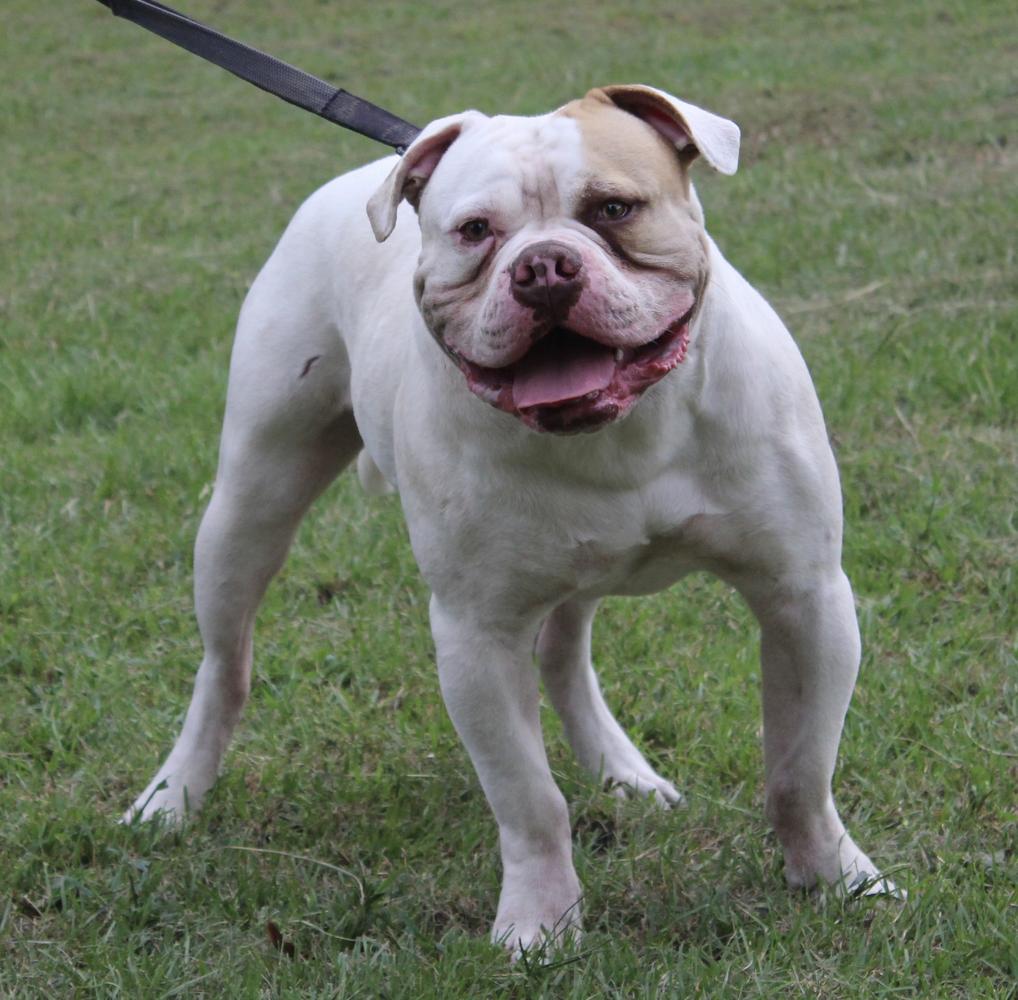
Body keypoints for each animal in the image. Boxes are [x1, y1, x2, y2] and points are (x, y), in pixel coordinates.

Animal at [125, 86, 891, 953]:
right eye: (474, 232)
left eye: (615, 208)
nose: (544, 267)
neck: (625, 432)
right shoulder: (477, 635)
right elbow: (528, 799)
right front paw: (540, 924)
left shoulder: (804, 597)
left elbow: (801, 768)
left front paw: (836, 879)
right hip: (251, 502)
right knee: (225, 664)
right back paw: (173, 795)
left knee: (563, 652)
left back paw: (622, 771)